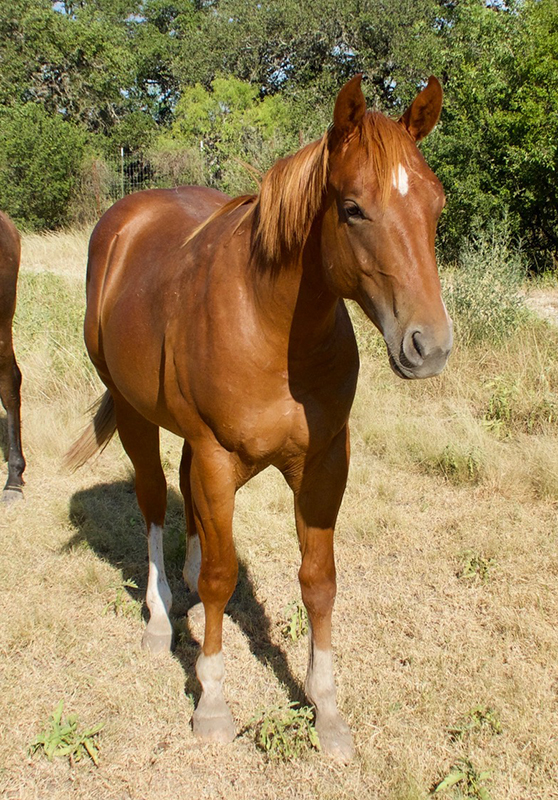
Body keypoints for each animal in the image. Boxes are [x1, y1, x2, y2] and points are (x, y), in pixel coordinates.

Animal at [69, 76, 456, 764]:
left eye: (435, 206)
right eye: (352, 208)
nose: (428, 346)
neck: (272, 326)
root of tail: (122, 221)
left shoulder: (324, 461)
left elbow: (318, 580)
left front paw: (327, 711)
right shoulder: (219, 455)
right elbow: (224, 576)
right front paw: (213, 705)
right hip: (137, 416)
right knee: (152, 502)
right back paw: (161, 620)